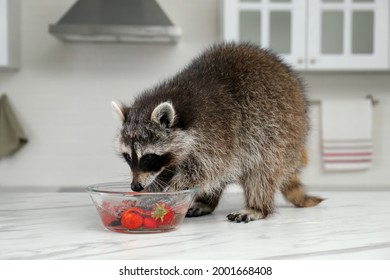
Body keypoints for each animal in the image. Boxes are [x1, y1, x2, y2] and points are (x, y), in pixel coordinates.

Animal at [112, 42, 322, 222]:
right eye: (128, 157)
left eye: (148, 157)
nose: (136, 186)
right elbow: (168, 172)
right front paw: (151, 192)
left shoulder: (218, 133)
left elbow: (207, 169)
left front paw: (171, 190)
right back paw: (207, 202)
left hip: (281, 132)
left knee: (262, 171)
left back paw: (257, 206)